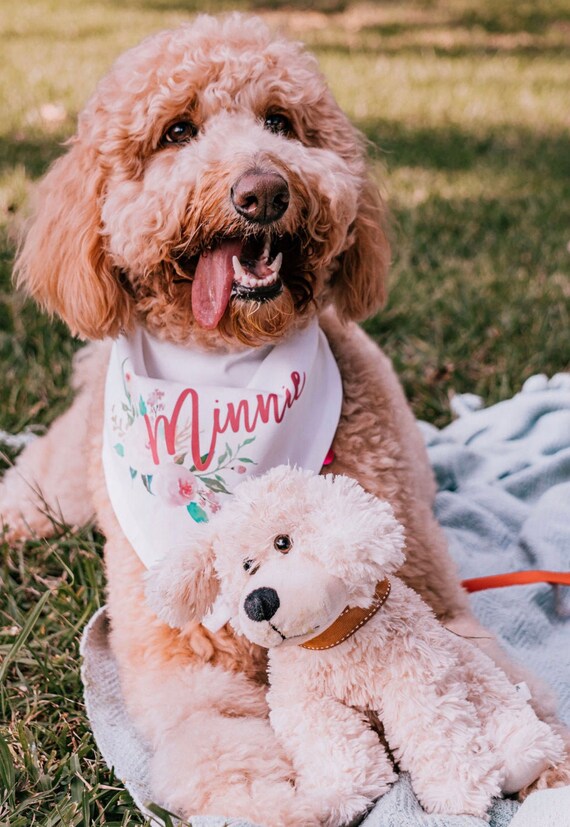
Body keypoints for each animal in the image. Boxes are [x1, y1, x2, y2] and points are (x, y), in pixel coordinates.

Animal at [2, 14, 564, 827]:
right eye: (177, 131)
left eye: (280, 122)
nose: (264, 190)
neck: (232, 369)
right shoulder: (186, 660)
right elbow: (222, 743)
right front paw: (270, 802)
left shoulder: (433, 601)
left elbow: (493, 675)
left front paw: (546, 763)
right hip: (65, 479)